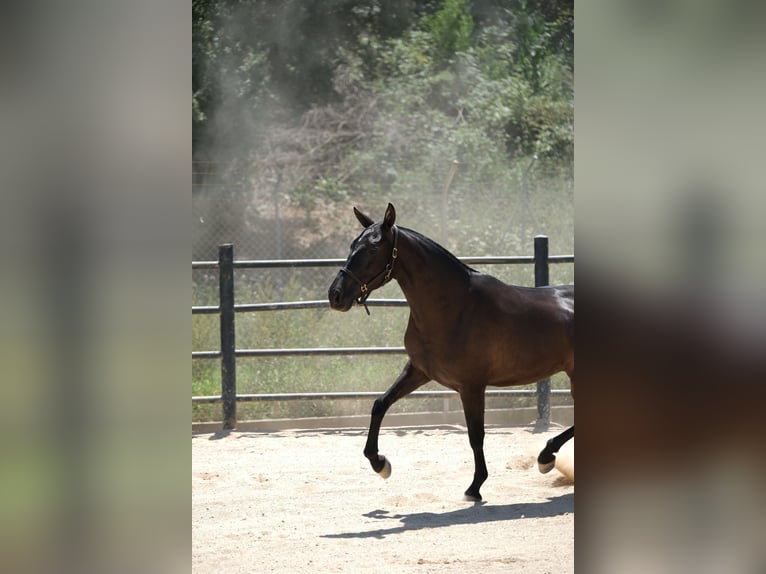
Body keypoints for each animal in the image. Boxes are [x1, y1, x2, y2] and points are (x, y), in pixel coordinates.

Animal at [328, 205, 572, 502]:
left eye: (373, 247)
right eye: (353, 244)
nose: (335, 295)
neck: (455, 306)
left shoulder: (471, 386)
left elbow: (475, 435)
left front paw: (475, 487)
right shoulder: (419, 371)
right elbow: (380, 404)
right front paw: (380, 463)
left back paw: (546, 457)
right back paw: (546, 456)